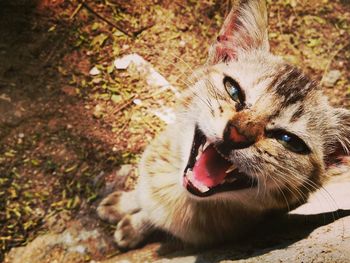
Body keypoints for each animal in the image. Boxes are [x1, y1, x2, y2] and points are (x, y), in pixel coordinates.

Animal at [96, 0, 350, 250]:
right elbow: (144, 195)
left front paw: (134, 227)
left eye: (289, 141)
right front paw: (125, 203)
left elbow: (153, 217)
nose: (236, 134)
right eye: (233, 90)